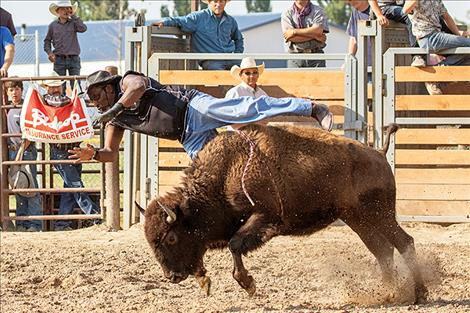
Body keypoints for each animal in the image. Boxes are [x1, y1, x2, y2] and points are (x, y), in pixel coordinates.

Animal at [139, 123, 426, 302]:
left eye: (171, 237)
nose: (172, 277)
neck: (227, 171)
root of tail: (378, 153)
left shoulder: (265, 218)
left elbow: (235, 245)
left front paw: (248, 284)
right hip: (357, 219)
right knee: (382, 250)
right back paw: (389, 294)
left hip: (380, 214)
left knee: (403, 242)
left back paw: (419, 294)